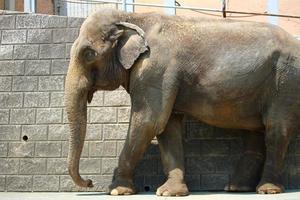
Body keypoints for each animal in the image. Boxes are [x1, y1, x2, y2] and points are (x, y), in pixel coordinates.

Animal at [65, 8, 300, 196]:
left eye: (89, 54)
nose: (89, 182)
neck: (132, 17)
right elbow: (168, 127)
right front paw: (170, 193)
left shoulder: (155, 68)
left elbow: (149, 122)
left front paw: (116, 191)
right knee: (256, 132)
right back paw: (236, 188)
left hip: (285, 82)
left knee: (276, 131)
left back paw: (267, 190)